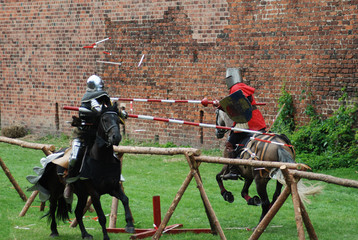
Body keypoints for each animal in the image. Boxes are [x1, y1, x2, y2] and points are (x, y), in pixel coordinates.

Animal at [27, 102, 134, 239]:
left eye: (117, 120)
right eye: (105, 119)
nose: (116, 137)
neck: (102, 160)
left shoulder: (113, 188)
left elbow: (125, 200)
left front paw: (129, 225)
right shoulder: (94, 194)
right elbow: (101, 217)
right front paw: (106, 236)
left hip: (82, 194)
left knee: (77, 212)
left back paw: (85, 234)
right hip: (56, 190)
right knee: (52, 207)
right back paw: (54, 230)